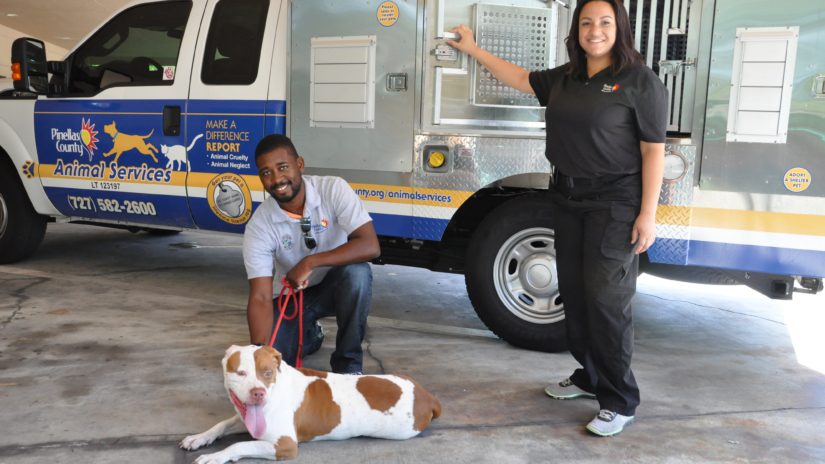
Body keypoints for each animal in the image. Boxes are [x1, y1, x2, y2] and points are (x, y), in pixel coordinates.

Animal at [179, 342, 438, 462]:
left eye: (267, 373)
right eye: (241, 373)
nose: (258, 393)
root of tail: (427, 395)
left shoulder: (285, 445)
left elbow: (239, 445)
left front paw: (216, 455)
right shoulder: (248, 418)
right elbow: (222, 424)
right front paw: (199, 437)